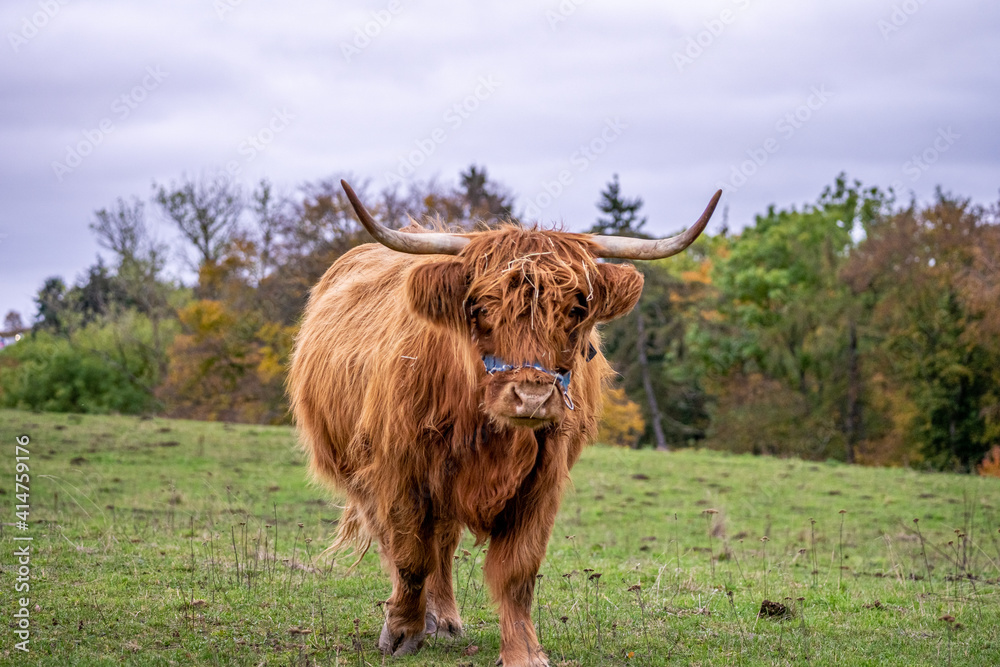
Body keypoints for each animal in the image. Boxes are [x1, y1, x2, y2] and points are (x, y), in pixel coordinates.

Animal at [290, 181, 720, 667]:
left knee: (443, 542)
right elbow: (409, 556)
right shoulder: (398, 473)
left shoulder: (542, 481)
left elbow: (517, 571)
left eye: (576, 309)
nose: (531, 396)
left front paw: (524, 651)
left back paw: (445, 618)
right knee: (408, 542)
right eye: (479, 308)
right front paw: (401, 632)